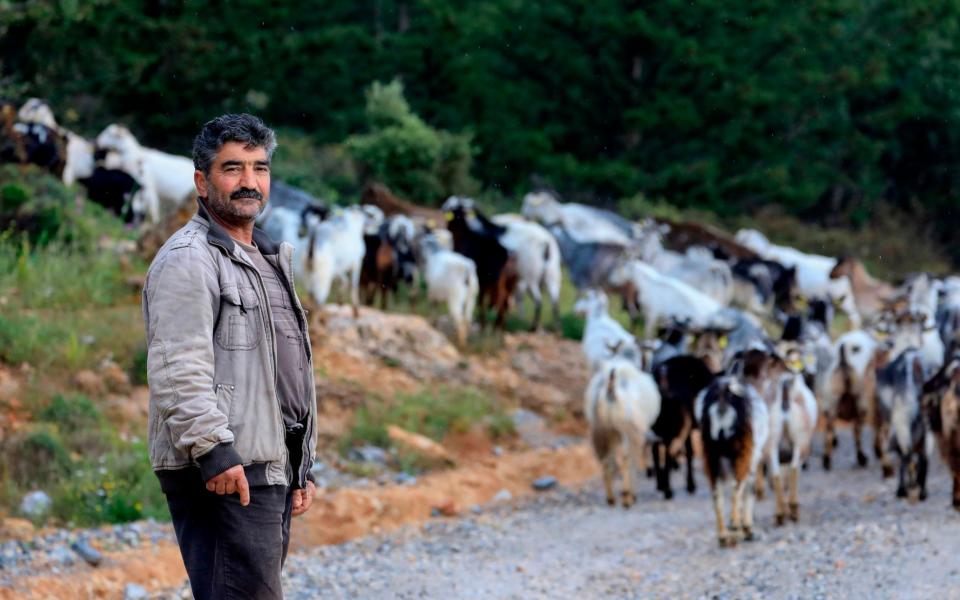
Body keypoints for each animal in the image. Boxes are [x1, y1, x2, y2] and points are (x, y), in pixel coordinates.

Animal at [580, 356, 664, 506]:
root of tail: (610, 387)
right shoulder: (634, 433)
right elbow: (632, 460)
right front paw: (632, 494)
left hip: (603, 430)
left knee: (606, 460)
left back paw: (611, 498)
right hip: (623, 429)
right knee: (625, 459)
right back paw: (626, 497)